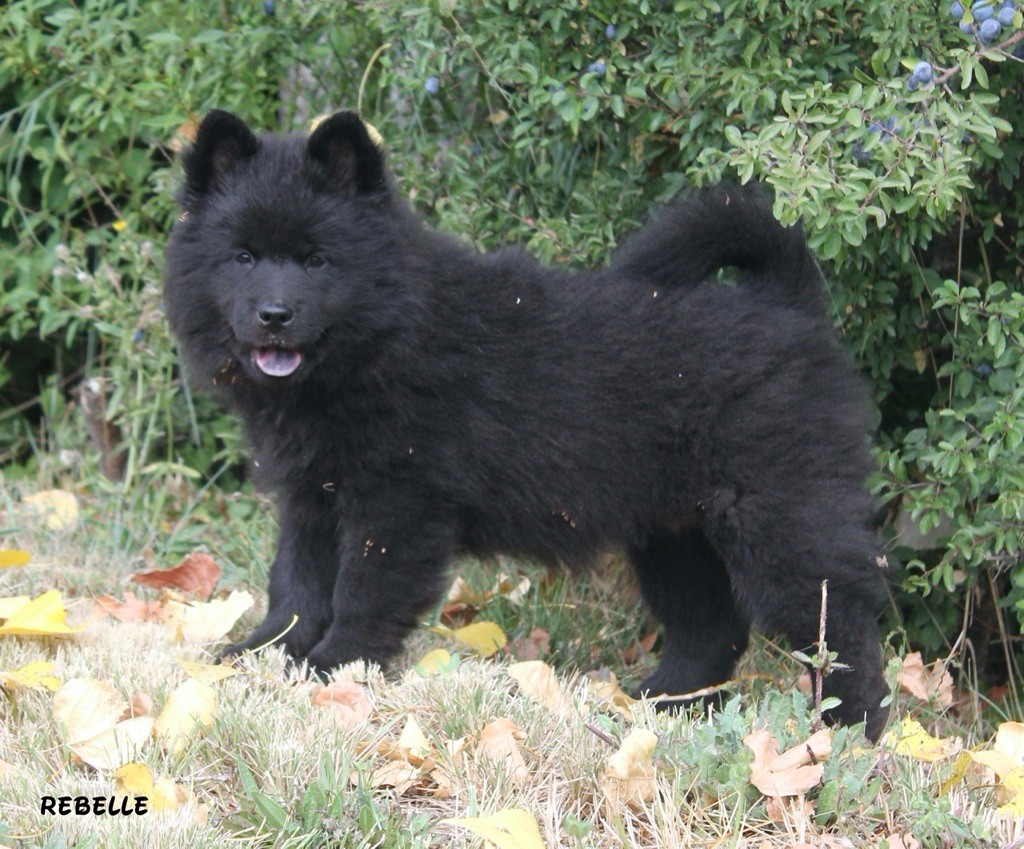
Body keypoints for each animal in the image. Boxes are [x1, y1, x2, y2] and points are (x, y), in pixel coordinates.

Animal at [165, 111, 888, 737]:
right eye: (243, 258)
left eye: (317, 261)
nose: (275, 315)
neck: (377, 343)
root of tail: (784, 303)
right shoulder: (312, 497)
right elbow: (294, 587)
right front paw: (256, 656)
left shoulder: (396, 505)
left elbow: (360, 593)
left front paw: (333, 668)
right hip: (675, 530)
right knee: (711, 631)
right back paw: (655, 704)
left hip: (779, 513)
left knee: (842, 620)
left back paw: (847, 730)